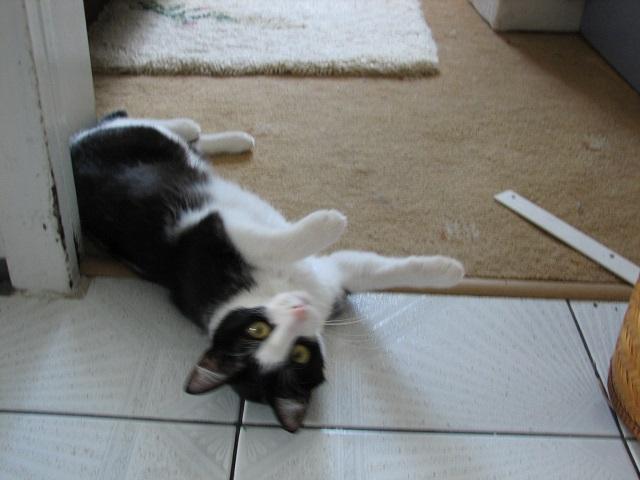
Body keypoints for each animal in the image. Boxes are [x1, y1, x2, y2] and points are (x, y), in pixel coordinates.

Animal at [70, 111, 464, 432]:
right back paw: (198, 130)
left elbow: (382, 269)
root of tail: (68, 154)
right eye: (297, 353)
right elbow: (282, 242)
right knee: (128, 123)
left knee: (142, 123)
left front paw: (448, 271)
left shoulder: (325, 274)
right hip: (133, 140)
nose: (299, 308)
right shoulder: (214, 231)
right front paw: (328, 223)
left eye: (256, 329)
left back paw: (220, 134)